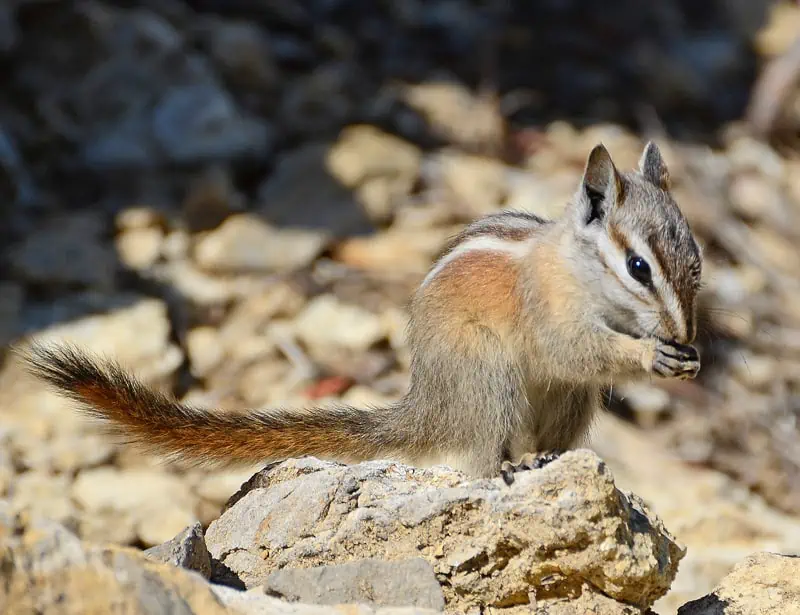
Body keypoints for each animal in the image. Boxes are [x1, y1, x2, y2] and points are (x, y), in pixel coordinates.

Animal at [23, 141, 702, 484]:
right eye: (638, 267)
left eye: (697, 263)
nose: (683, 332)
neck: (576, 267)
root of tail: (430, 404)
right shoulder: (548, 308)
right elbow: (574, 347)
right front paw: (650, 353)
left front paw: (685, 355)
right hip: (489, 378)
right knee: (481, 456)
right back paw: (511, 466)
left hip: (566, 400)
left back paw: (554, 459)